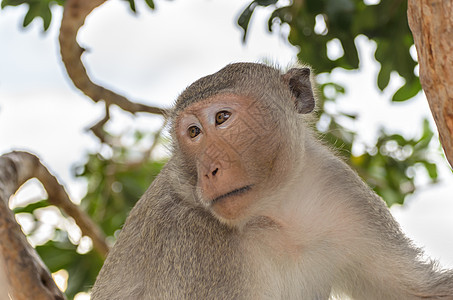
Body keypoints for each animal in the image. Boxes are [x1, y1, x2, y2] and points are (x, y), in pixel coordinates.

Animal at [90, 62, 452, 298]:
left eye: (222, 118)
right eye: (193, 133)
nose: (208, 170)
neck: (276, 212)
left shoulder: (346, 194)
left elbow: (416, 292)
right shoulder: (193, 242)